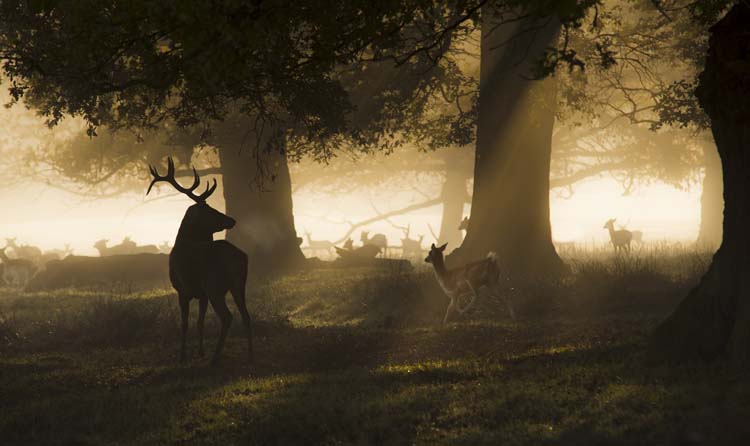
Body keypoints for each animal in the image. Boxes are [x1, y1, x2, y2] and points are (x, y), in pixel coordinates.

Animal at [147, 159, 253, 364]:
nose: (231, 220)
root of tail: (240, 258)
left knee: (228, 316)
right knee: (246, 315)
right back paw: (252, 353)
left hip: (215, 285)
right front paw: (200, 352)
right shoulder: (201, 294)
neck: (183, 241)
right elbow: (200, 322)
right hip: (239, 284)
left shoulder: (182, 289)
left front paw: (182, 356)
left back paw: (216, 358)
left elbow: (185, 323)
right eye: (211, 211)